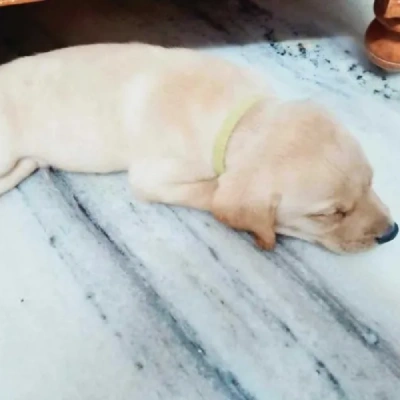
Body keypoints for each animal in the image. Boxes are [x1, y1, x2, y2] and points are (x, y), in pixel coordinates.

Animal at [0, 42, 396, 252]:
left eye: (371, 183)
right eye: (330, 214)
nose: (392, 233)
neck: (242, 116)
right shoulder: (154, 177)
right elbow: (214, 193)